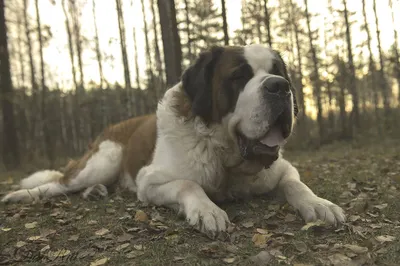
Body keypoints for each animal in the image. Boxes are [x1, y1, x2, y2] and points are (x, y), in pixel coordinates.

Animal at [1, 44, 346, 237]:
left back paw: (96, 192)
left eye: (280, 74)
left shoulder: (283, 168)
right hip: (103, 159)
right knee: (58, 184)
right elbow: (188, 184)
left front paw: (319, 204)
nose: (279, 87)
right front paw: (207, 211)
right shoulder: (149, 181)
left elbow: (296, 184)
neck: (225, 156)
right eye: (238, 77)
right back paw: (22, 195)